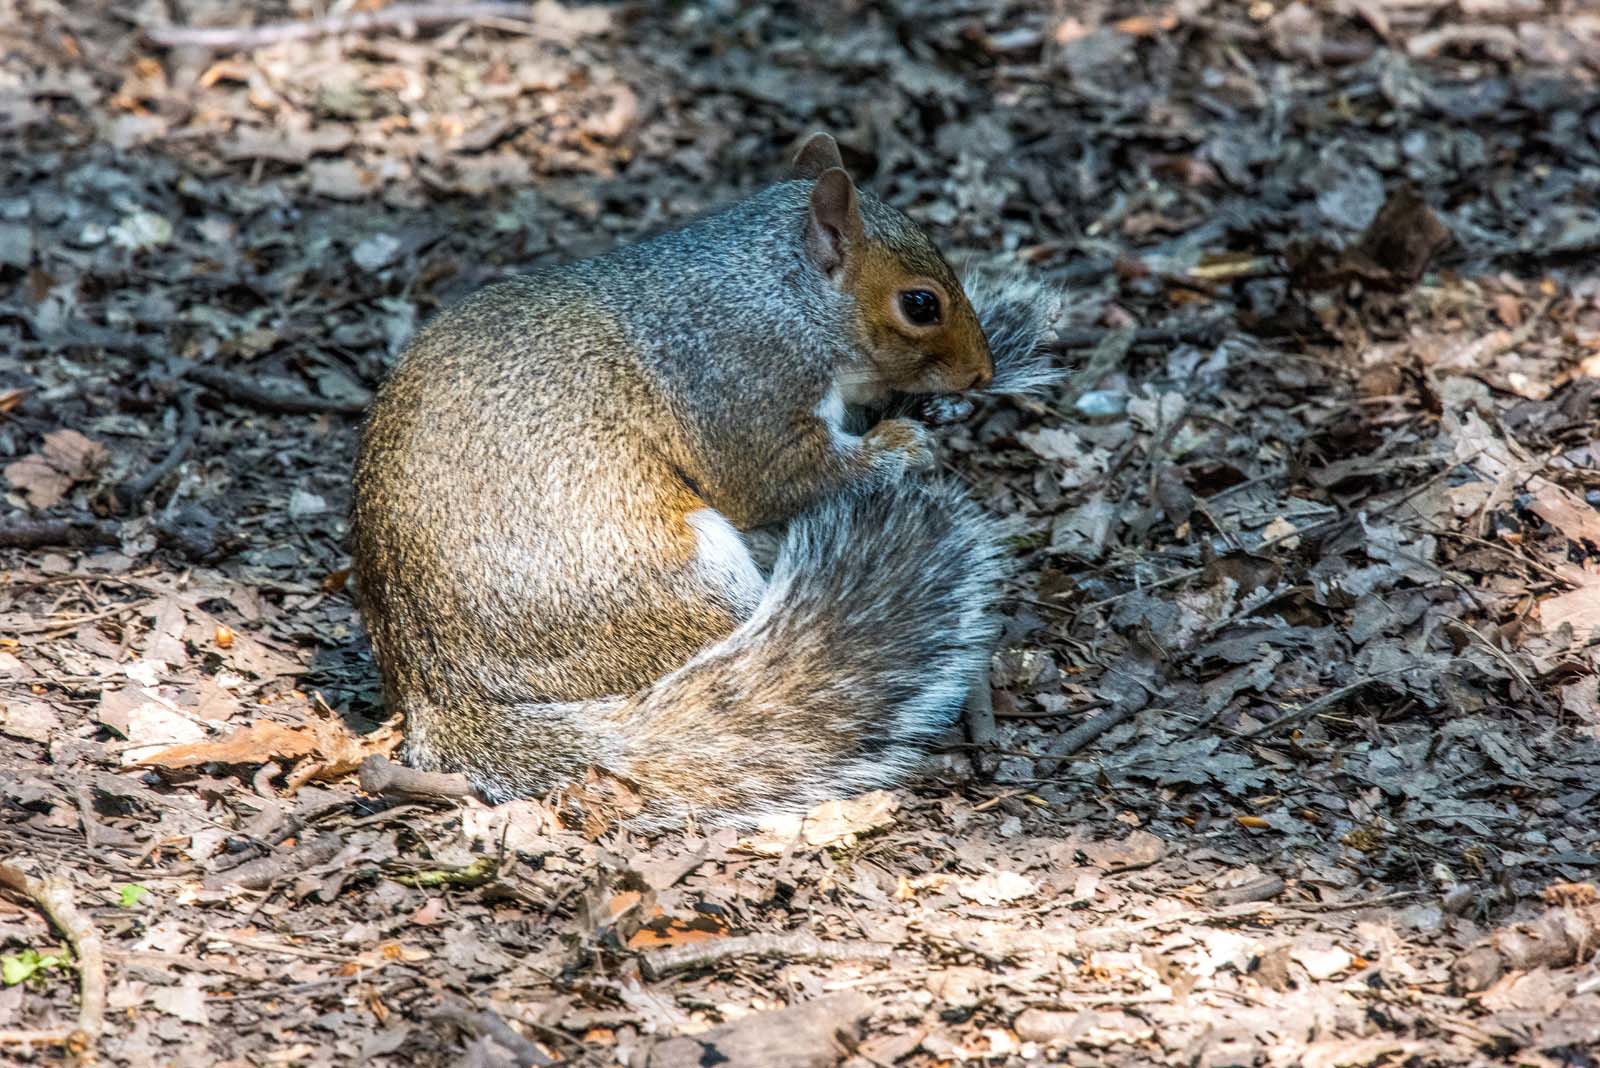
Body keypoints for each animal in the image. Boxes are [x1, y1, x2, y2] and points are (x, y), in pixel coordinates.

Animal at [350, 133, 1049, 831]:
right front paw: (904, 444)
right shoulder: (744, 389)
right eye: (920, 304)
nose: (982, 375)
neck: (780, 291)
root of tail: (437, 691)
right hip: (678, 570)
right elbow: (784, 476)